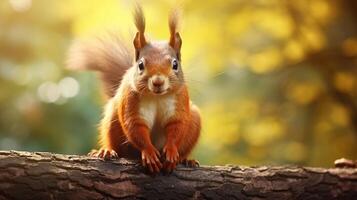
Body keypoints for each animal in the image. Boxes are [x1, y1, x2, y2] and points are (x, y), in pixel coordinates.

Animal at [66, 5, 200, 173]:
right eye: (141, 65)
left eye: (175, 64)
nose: (158, 82)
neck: (157, 96)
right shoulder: (131, 100)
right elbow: (136, 127)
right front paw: (149, 152)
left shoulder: (180, 100)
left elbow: (177, 126)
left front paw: (171, 150)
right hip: (113, 118)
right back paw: (106, 151)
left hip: (195, 118)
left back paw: (186, 160)